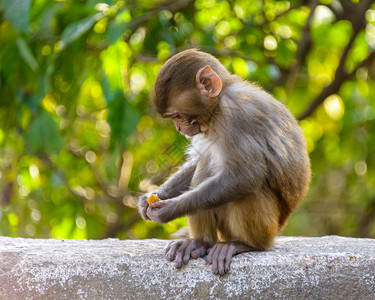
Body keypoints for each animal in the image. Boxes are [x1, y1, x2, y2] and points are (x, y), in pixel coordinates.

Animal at [139, 48, 312, 274]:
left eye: (177, 115)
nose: (178, 128)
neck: (218, 104)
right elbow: (198, 160)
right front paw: (151, 197)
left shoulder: (237, 116)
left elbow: (246, 176)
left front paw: (170, 209)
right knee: (205, 165)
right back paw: (200, 242)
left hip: (267, 227)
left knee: (247, 189)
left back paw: (243, 244)